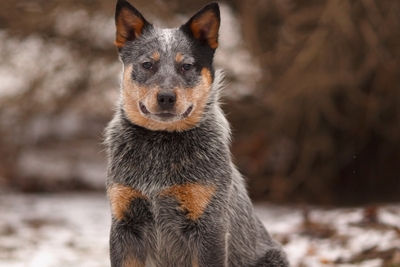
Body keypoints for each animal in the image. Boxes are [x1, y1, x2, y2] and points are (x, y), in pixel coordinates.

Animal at [104, 1, 290, 266]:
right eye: (147, 64)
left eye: (187, 66)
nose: (166, 97)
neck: (160, 145)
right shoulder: (124, 223)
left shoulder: (209, 226)